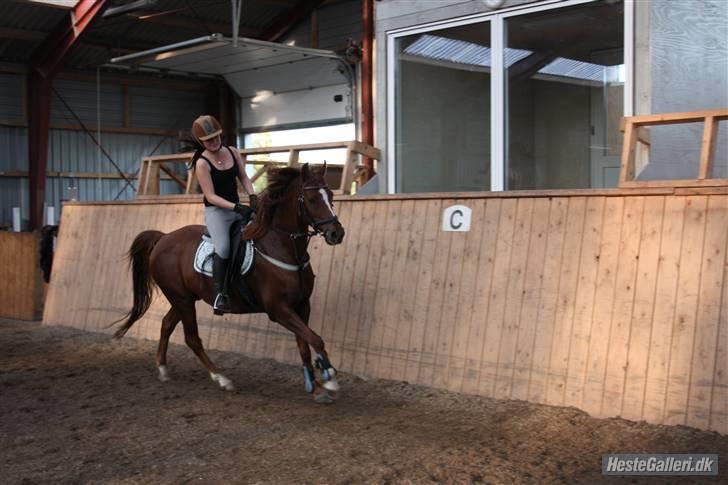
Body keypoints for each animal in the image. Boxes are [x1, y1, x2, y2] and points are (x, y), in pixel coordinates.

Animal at [113, 164, 344, 402]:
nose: (337, 233)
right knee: (192, 338)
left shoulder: (302, 305)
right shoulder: (279, 310)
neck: (284, 249)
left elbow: (305, 343)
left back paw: (163, 369)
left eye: (331, 196)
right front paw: (330, 378)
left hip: (184, 299)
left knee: (167, 324)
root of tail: (164, 237)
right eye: (312, 199)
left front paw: (315, 386)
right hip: (181, 299)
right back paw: (221, 379)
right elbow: (315, 339)